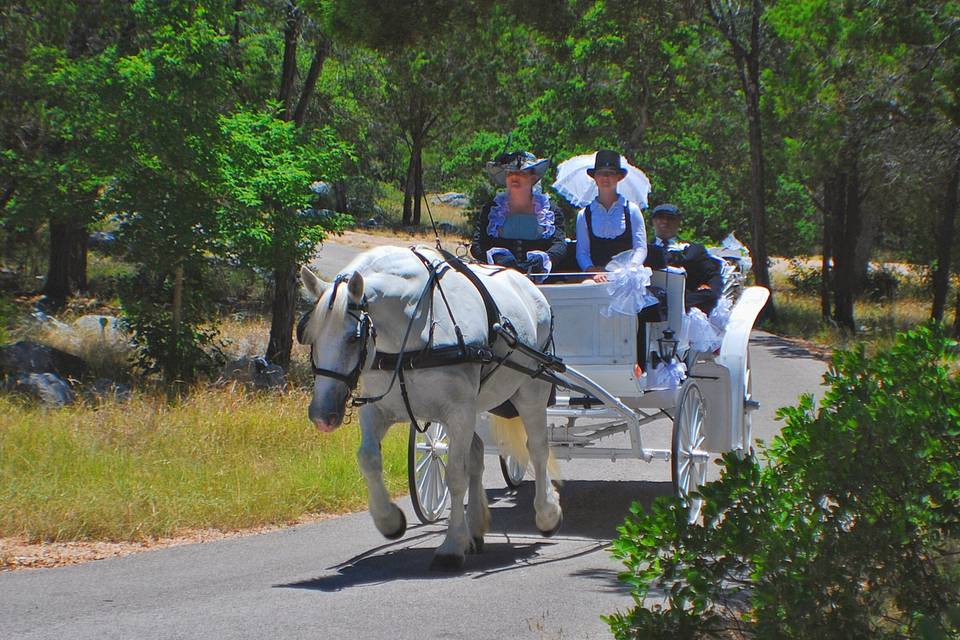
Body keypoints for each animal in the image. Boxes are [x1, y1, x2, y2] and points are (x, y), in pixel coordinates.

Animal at [296, 245, 560, 568]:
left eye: (352, 338)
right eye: (309, 335)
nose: (322, 415)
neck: (414, 330)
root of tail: (526, 282)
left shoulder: (458, 412)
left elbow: (455, 475)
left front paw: (451, 546)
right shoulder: (379, 409)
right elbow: (368, 458)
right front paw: (389, 521)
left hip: (531, 390)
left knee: (537, 448)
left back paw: (547, 513)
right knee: (477, 454)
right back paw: (475, 528)